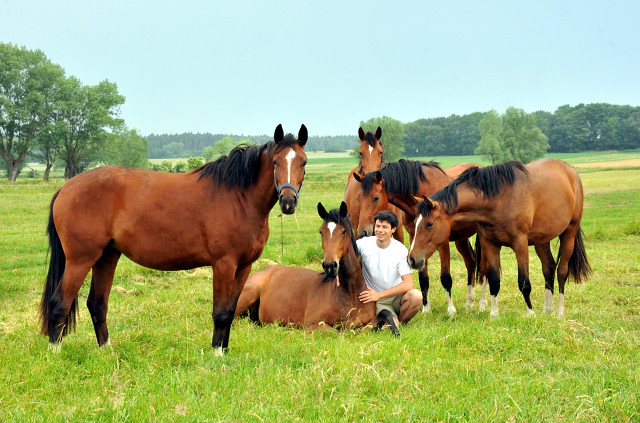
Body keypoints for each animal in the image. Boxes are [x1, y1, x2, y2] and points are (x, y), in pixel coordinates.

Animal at [40, 124, 310, 352]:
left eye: (304, 163)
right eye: (275, 161)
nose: (288, 202)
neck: (239, 198)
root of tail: (66, 188)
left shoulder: (244, 267)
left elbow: (231, 310)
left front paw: (224, 351)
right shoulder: (224, 264)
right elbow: (221, 312)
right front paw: (216, 355)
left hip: (107, 256)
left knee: (97, 304)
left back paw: (106, 351)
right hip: (80, 259)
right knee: (59, 303)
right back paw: (55, 353)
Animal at [232, 202, 380, 332]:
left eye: (343, 231)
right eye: (321, 231)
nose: (329, 266)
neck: (351, 294)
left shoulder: (370, 323)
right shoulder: (314, 324)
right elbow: (336, 332)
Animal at [352, 161, 482, 316]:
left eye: (376, 197)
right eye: (358, 199)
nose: (362, 232)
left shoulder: (442, 243)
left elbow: (445, 277)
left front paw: (451, 311)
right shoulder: (416, 241)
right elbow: (423, 277)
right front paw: (426, 308)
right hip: (461, 239)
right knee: (471, 261)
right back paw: (469, 303)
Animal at [410, 159, 592, 318]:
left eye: (429, 224)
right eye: (415, 222)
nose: (412, 259)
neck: (498, 200)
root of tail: (570, 170)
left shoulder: (520, 244)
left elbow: (524, 282)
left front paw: (530, 313)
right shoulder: (490, 243)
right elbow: (494, 280)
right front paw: (494, 314)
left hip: (569, 232)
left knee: (562, 271)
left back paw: (559, 311)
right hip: (542, 240)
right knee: (548, 268)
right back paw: (547, 309)